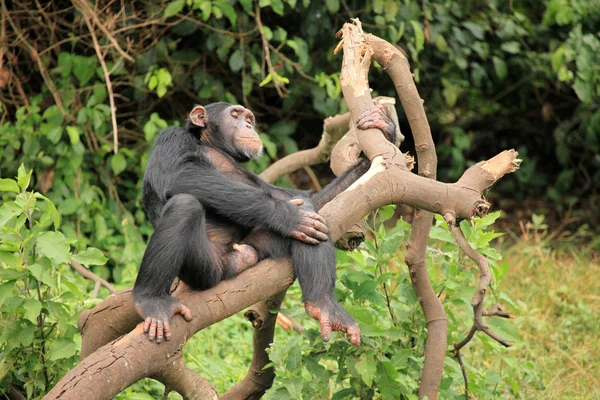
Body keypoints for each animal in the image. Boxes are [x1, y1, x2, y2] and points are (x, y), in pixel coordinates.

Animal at [134, 102, 396, 346]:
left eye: (249, 119)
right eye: (235, 115)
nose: (248, 125)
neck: (213, 147)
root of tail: (232, 262)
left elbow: (305, 197)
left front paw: (384, 131)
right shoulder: (170, 137)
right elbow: (179, 174)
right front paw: (288, 215)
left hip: (254, 246)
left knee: (309, 216)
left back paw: (323, 305)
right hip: (205, 269)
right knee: (184, 206)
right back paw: (150, 300)